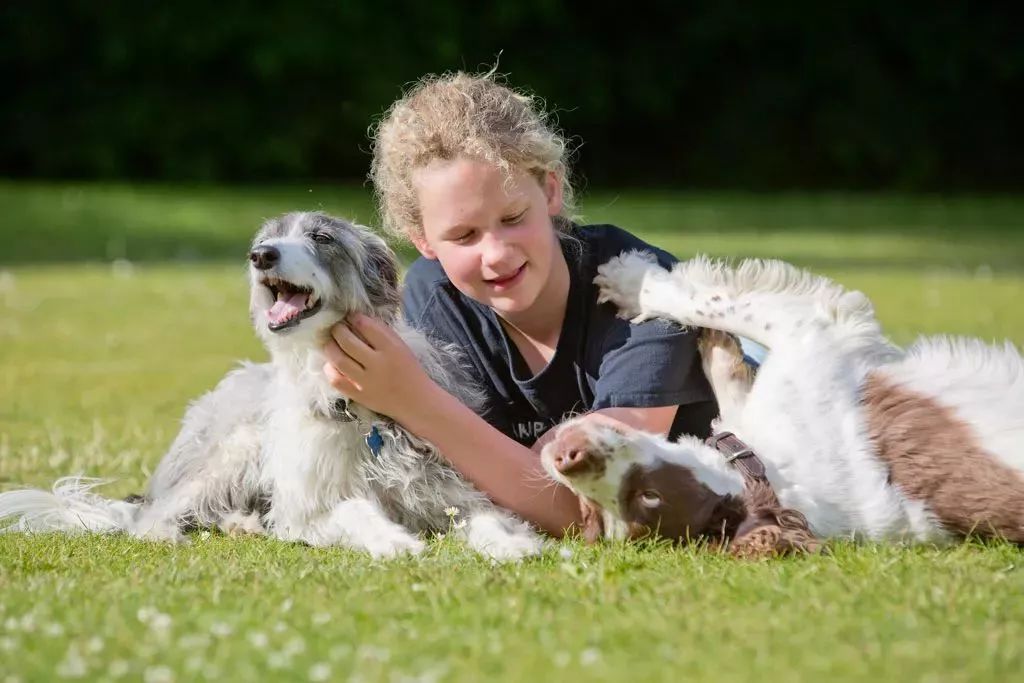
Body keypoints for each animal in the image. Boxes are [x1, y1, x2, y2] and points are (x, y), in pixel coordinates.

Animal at [0, 214, 544, 561]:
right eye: (267, 238)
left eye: (322, 236)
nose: (260, 255)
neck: (356, 407)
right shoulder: (307, 508)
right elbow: (354, 508)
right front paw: (392, 541)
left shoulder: (452, 488)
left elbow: (485, 515)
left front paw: (512, 543)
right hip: (236, 450)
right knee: (155, 516)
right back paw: (180, 532)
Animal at [540, 250, 1019, 557]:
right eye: (595, 514)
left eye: (649, 497)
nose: (567, 458)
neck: (769, 468)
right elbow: (724, 330)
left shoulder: (808, 335)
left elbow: (718, 311)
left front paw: (631, 283)